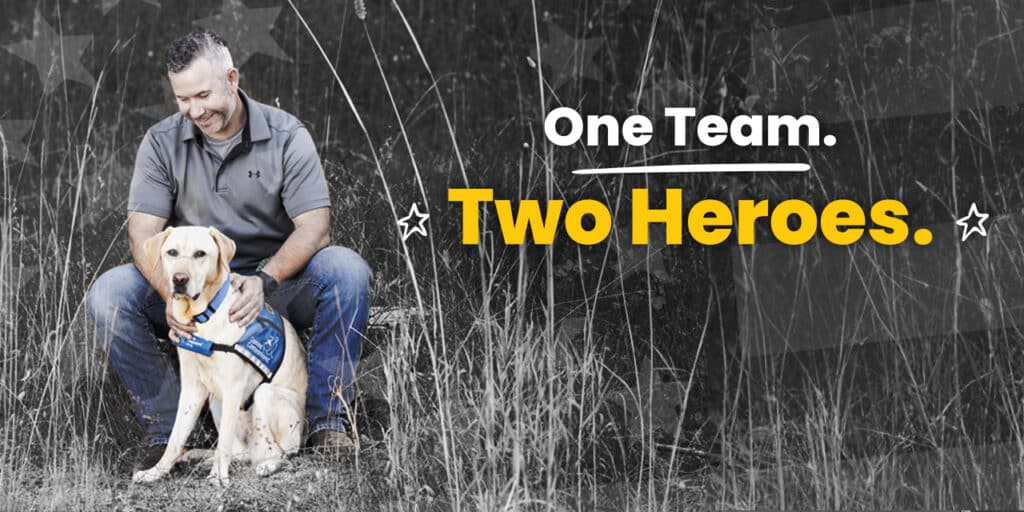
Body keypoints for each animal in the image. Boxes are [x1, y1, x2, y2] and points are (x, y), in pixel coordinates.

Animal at [133, 227, 307, 483]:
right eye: (171, 252)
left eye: (200, 254)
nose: (179, 279)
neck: (204, 316)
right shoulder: (192, 387)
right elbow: (175, 437)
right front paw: (156, 472)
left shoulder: (233, 387)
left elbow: (223, 439)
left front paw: (218, 477)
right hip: (216, 398)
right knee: (241, 452)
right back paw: (202, 457)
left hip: (267, 396)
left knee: (279, 453)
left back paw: (266, 465)